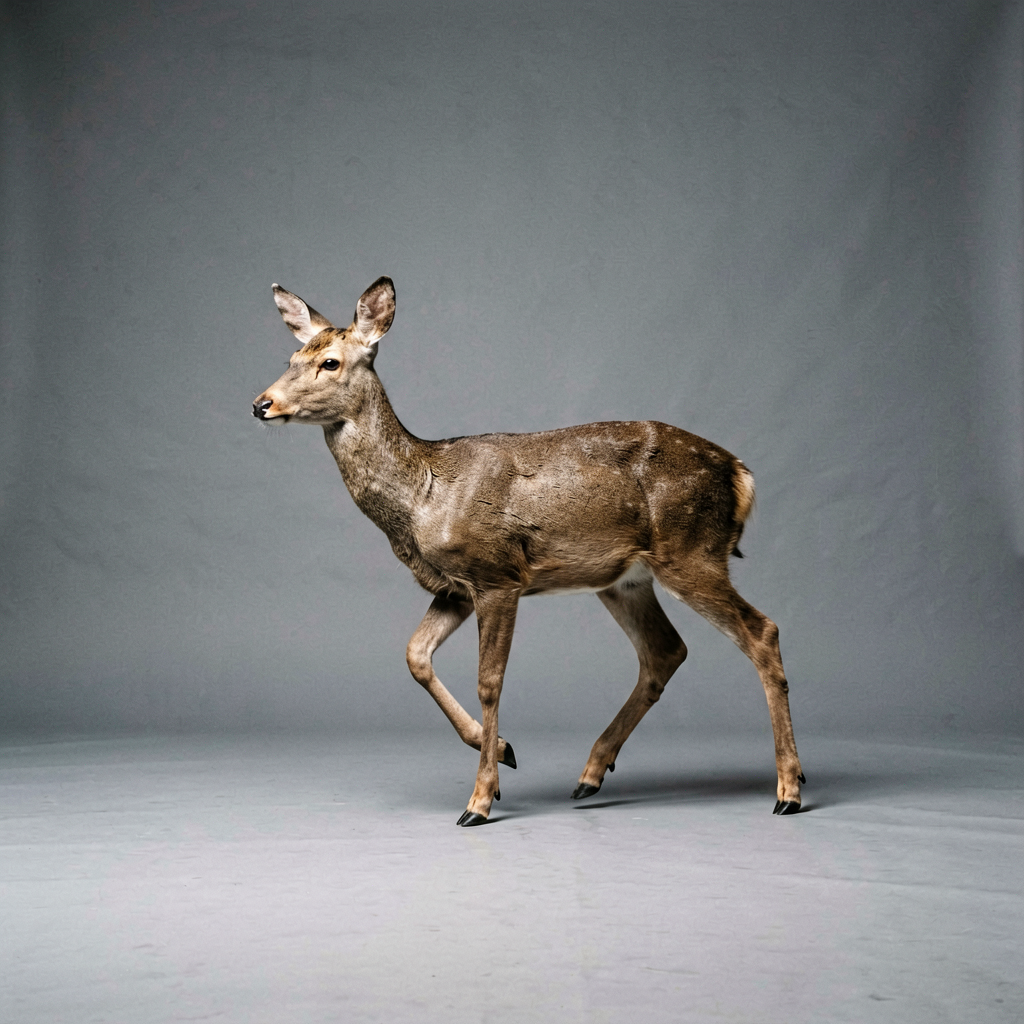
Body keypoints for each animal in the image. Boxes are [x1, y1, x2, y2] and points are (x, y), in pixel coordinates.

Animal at [253, 276, 805, 826]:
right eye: (291, 357)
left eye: (330, 362)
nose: (261, 404)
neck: (423, 495)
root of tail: (739, 473)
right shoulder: (454, 587)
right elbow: (415, 656)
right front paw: (503, 751)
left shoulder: (498, 574)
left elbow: (489, 680)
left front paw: (479, 800)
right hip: (624, 578)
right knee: (666, 650)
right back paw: (590, 775)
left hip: (691, 549)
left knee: (761, 631)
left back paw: (789, 789)